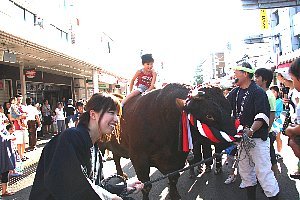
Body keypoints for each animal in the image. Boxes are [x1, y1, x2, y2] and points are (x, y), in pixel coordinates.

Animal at [99, 83, 236, 199]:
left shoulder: (178, 159)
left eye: (230, 108)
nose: (235, 138)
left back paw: (121, 174)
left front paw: (174, 195)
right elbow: (146, 186)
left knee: (116, 156)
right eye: (209, 115)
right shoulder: (139, 159)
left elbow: (173, 178)